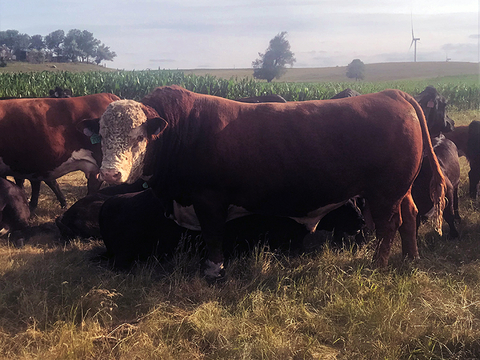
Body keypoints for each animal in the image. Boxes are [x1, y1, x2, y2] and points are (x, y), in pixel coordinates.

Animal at [81, 85, 446, 282]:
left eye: (139, 136)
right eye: (103, 135)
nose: (110, 174)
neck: (181, 130)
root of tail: (393, 95)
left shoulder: (209, 198)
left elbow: (214, 236)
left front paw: (214, 272)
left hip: (384, 192)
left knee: (388, 226)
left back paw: (378, 265)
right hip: (400, 190)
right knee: (409, 217)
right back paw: (410, 259)